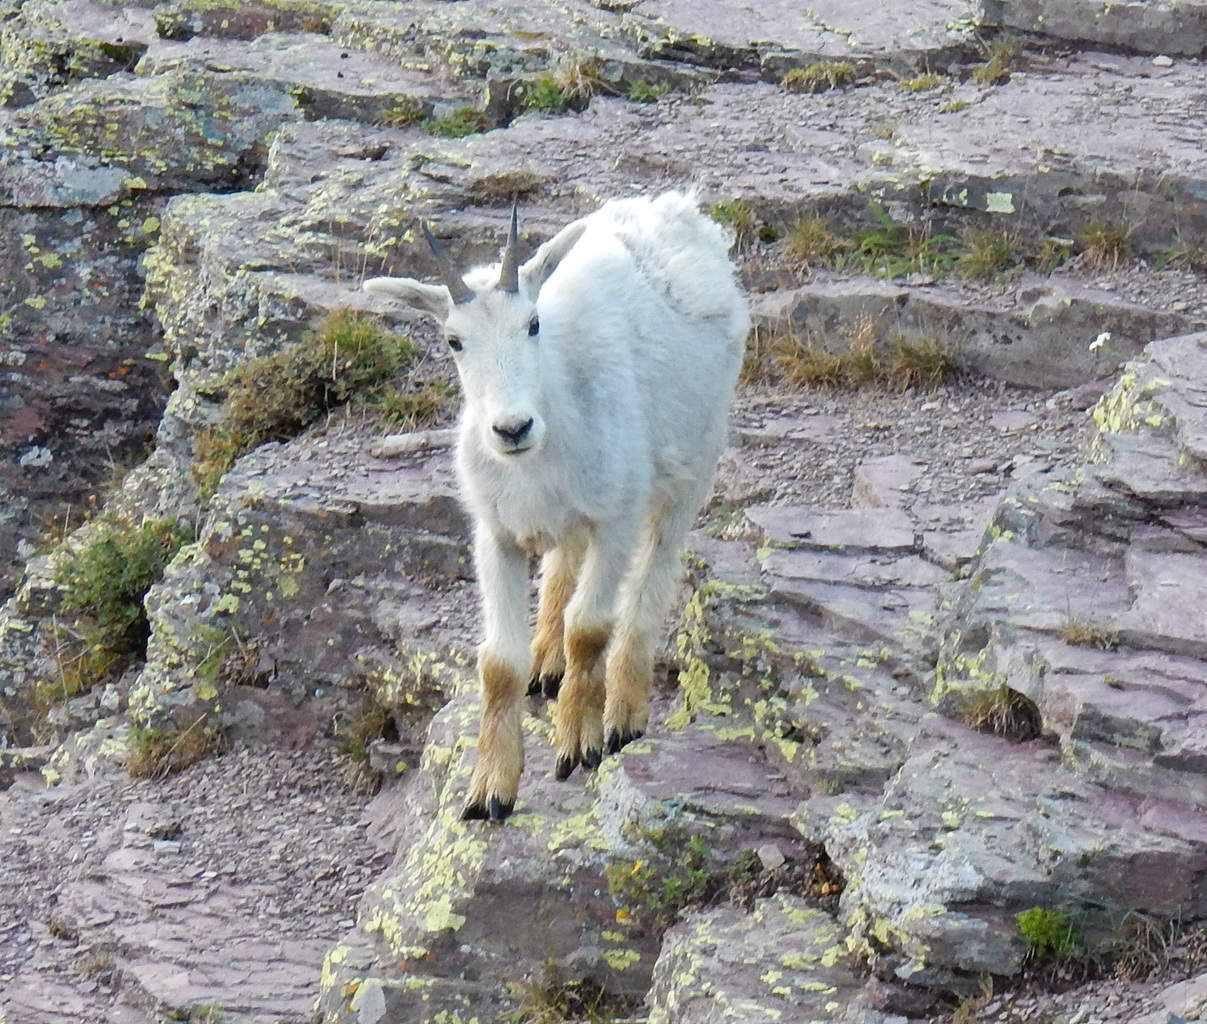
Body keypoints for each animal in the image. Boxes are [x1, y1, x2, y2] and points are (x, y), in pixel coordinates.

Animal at [362, 189, 748, 816]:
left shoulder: (616, 517)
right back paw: (545, 660)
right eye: (453, 340)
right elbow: (497, 664)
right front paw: (490, 789)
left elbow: (589, 629)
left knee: (652, 574)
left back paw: (623, 711)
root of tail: (678, 208)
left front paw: (576, 743)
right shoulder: (494, 533)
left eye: (533, 324)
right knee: (566, 555)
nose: (512, 428)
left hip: (695, 459)